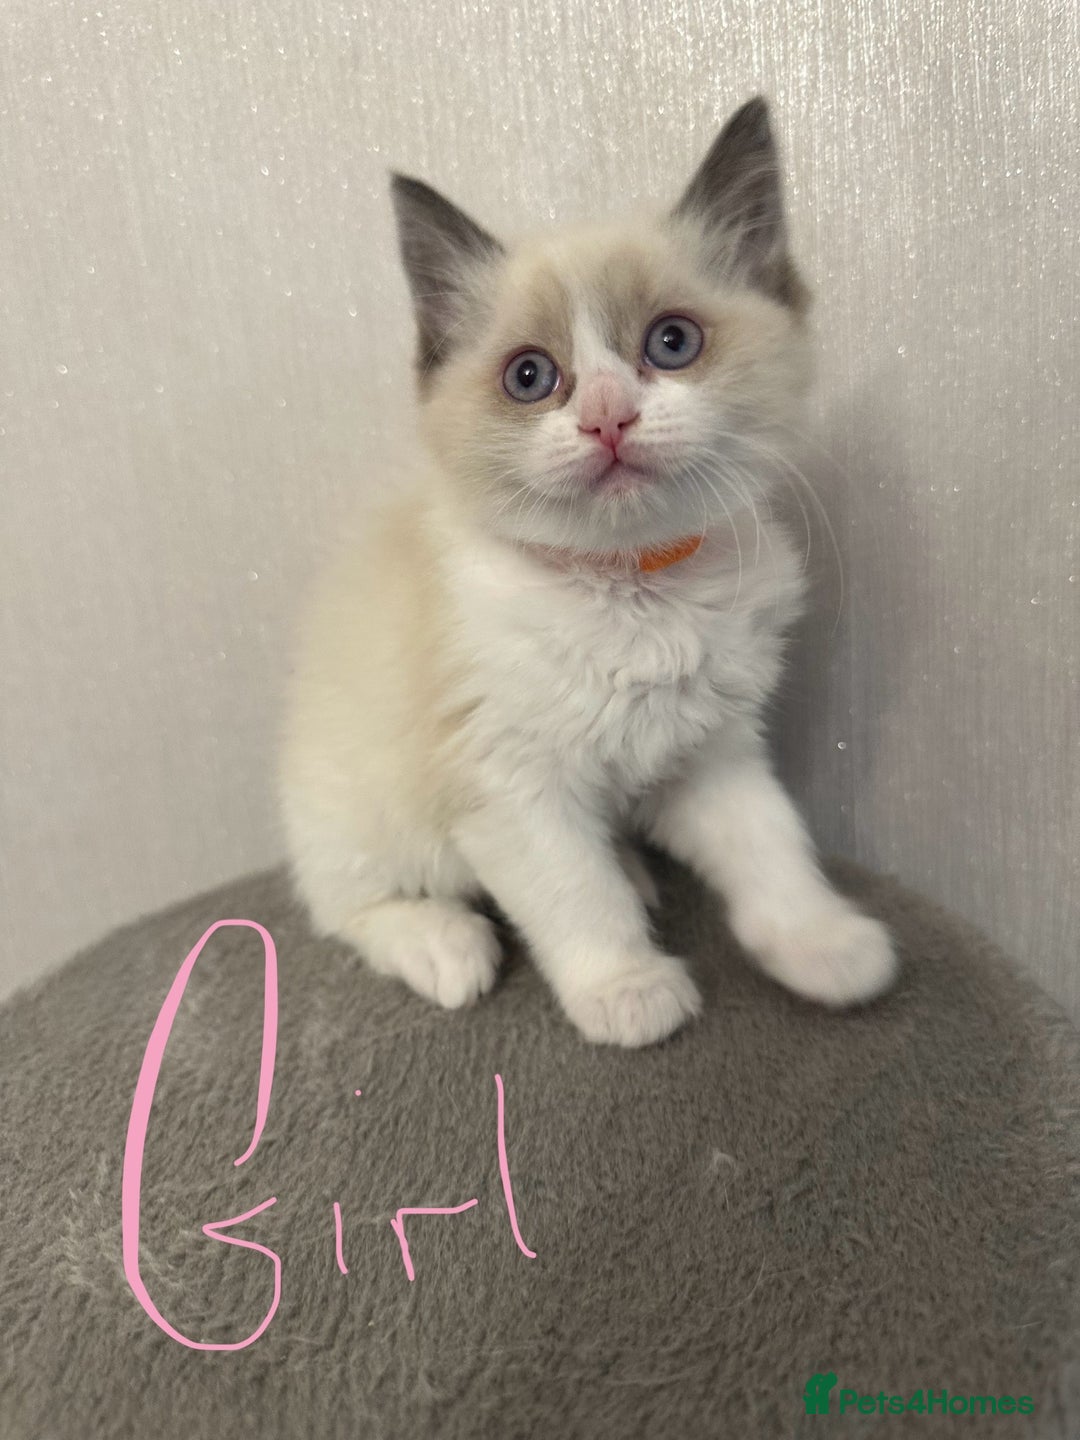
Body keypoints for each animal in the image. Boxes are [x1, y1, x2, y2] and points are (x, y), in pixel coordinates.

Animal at [279, 96, 898, 1048]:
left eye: (672, 343)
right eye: (531, 377)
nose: (608, 416)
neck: (632, 585)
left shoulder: (710, 751)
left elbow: (771, 847)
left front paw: (821, 945)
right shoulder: (507, 782)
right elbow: (573, 892)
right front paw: (626, 989)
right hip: (359, 807)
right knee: (347, 905)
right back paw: (444, 942)